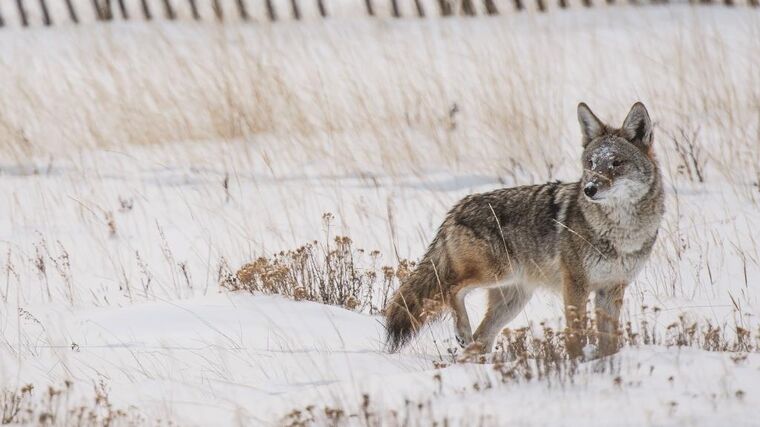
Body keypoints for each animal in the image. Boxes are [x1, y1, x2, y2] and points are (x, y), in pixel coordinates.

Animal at [382, 103, 664, 358]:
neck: (622, 232)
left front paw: (607, 363)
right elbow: (577, 332)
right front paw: (577, 362)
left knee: (480, 338)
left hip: (512, 300)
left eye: (616, 163)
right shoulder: (575, 284)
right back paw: (463, 334)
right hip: (496, 273)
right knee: (453, 291)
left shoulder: (612, 289)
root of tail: (456, 208)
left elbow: (609, 339)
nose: (589, 189)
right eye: (591, 163)